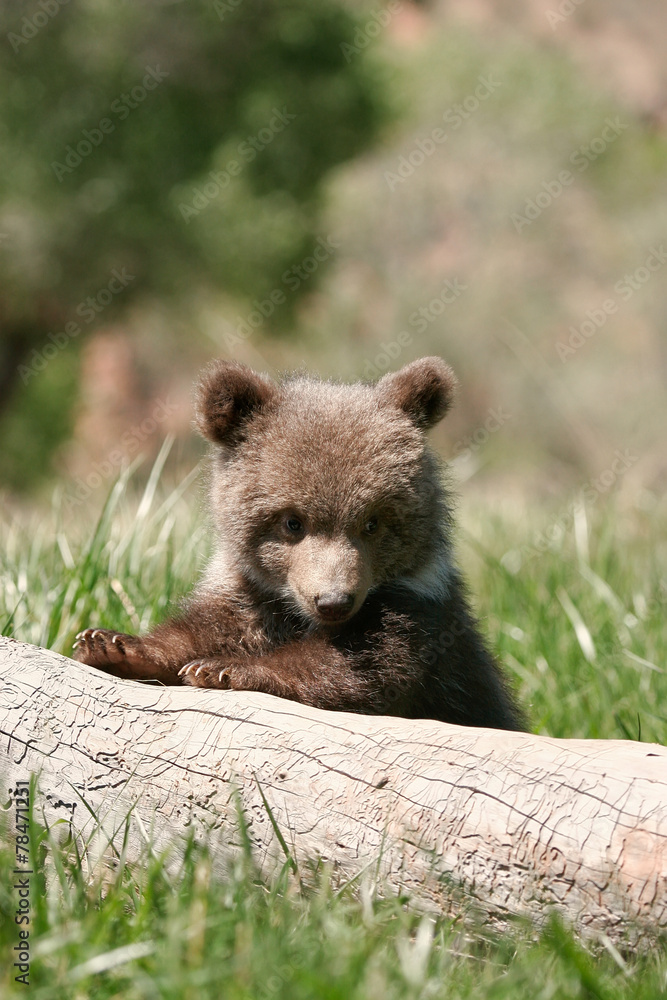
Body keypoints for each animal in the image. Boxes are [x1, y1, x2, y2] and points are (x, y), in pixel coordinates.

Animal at [74, 356, 525, 731]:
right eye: (292, 522)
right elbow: (200, 629)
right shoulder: (252, 596)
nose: (334, 601)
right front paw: (110, 643)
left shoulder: (419, 620)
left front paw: (223, 669)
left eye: (373, 522)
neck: (296, 613)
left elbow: (356, 671)